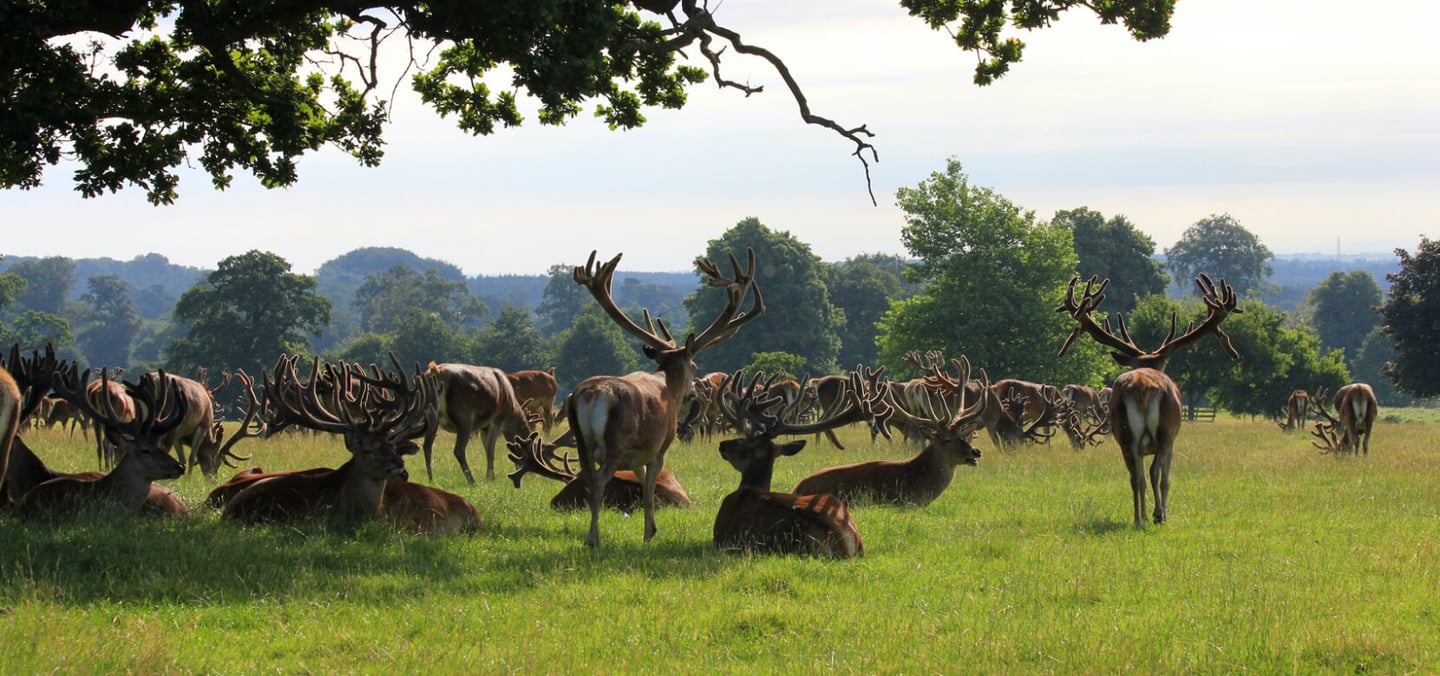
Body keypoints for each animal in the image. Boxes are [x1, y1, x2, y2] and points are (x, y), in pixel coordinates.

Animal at [568, 248, 764, 548]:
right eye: (694, 365)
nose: (693, 391)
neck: (667, 383)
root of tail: (590, 396)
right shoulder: (660, 447)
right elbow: (649, 495)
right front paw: (650, 533)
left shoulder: (638, 455)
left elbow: (643, 483)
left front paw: (651, 529)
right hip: (615, 443)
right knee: (599, 483)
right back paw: (593, 540)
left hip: (582, 443)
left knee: (589, 479)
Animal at [1056, 274, 1241, 526]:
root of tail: (1141, 386)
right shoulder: (1172, 441)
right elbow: (1166, 478)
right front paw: (1161, 512)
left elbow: (1140, 476)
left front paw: (1144, 514)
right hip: (1165, 430)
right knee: (1155, 473)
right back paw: (1158, 515)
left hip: (1124, 435)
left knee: (1135, 476)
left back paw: (1138, 518)